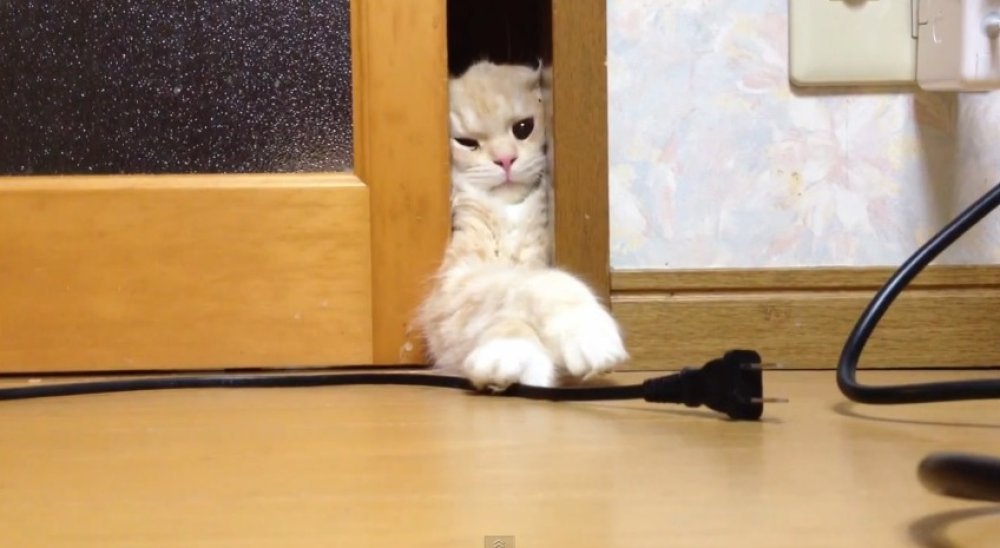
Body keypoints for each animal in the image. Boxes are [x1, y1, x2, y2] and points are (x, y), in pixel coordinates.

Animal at [416, 60, 627, 390]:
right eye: (467, 143)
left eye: (523, 128)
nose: (505, 160)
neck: (508, 214)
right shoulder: (452, 292)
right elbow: (530, 286)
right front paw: (512, 355)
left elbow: (535, 282)